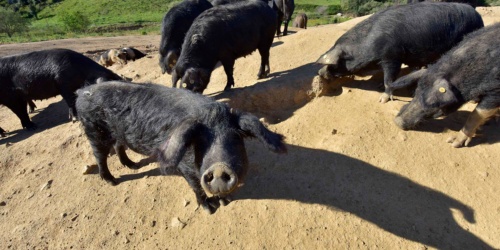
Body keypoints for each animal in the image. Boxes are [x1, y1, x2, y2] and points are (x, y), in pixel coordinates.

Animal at [74, 80, 286, 213]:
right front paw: (210, 209)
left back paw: (132, 165)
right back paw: (113, 181)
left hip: (116, 132)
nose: (219, 169)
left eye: (235, 138)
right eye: (201, 141)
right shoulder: (185, 166)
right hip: (94, 130)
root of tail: (82, 92)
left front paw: (226, 202)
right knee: (100, 156)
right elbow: (196, 187)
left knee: (119, 145)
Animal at [316, 1, 484, 103]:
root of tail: (478, 17)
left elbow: (389, 79)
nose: (319, 72)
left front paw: (382, 100)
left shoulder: (391, 57)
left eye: (335, 64)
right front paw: (379, 86)